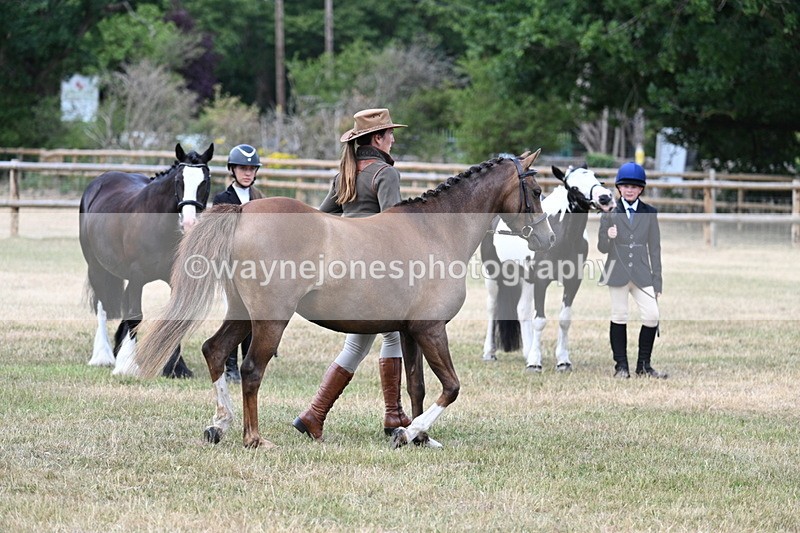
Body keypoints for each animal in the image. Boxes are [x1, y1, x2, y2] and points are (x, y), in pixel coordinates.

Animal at [79, 143, 214, 378]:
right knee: (102, 305)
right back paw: (103, 356)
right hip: (97, 267)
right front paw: (127, 367)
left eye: (205, 181)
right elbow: (135, 316)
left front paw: (176, 368)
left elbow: (174, 316)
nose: (188, 223)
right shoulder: (137, 277)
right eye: (179, 181)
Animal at [134, 150, 555, 449]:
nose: (548, 239)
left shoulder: (410, 331)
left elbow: (416, 386)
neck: (434, 231)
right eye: (536, 192)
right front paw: (408, 433)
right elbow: (450, 387)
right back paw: (254, 438)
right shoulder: (431, 329)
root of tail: (243, 210)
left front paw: (417, 437)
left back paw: (221, 424)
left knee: (215, 351)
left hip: (241, 313)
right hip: (270, 320)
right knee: (251, 369)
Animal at [480, 165, 616, 372]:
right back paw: (489, 353)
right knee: (492, 308)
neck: (562, 236)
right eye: (573, 187)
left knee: (522, 310)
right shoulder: (541, 281)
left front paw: (563, 361)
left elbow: (564, 319)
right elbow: (540, 320)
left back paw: (527, 351)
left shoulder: (572, 282)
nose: (605, 199)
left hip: (526, 278)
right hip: (492, 274)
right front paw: (535, 363)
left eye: (597, 179)